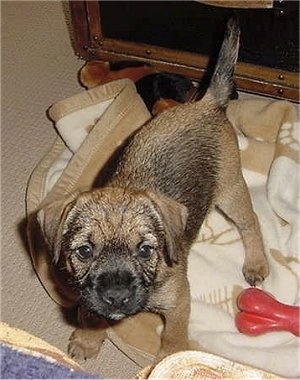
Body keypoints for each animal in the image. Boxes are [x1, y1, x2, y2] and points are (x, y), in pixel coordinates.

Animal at [38, 19, 270, 364]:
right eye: (84, 251)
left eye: (146, 250)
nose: (116, 296)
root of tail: (207, 102)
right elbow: (92, 313)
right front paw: (89, 338)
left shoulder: (178, 303)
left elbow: (173, 338)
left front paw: (168, 361)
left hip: (231, 190)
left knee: (250, 222)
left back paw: (256, 263)